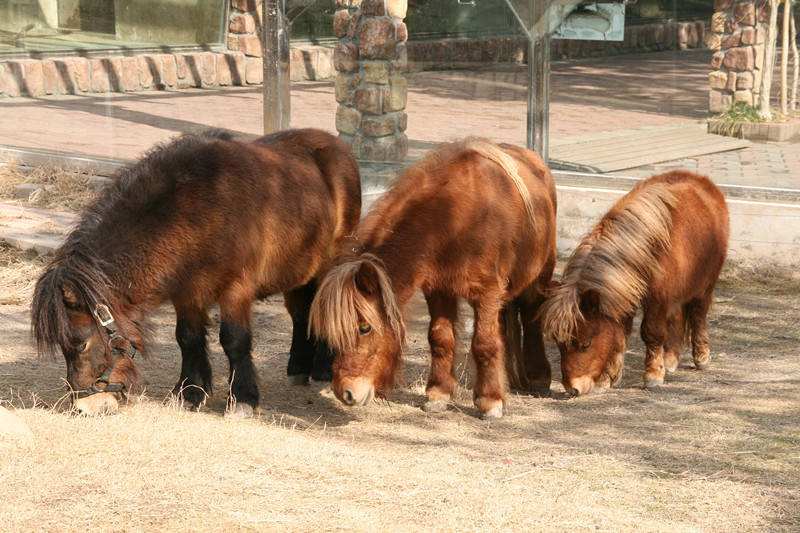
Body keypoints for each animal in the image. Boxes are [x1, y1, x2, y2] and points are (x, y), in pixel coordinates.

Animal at [31, 128, 360, 416]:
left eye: (81, 343)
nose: (84, 407)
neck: (198, 206)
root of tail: (336, 145)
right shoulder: (187, 292)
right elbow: (187, 338)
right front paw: (190, 393)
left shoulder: (236, 290)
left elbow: (234, 340)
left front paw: (242, 399)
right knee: (301, 312)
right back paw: (299, 368)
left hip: (332, 262)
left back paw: (322, 368)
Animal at [308, 138, 556, 420]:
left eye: (364, 327)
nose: (345, 393)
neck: (456, 218)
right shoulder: (439, 290)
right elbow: (441, 339)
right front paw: (438, 394)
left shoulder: (487, 294)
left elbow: (484, 343)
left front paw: (490, 401)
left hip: (539, 276)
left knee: (532, 315)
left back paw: (538, 377)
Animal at [540, 170, 728, 394]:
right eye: (559, 345)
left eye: (586, 344)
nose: (572, 388)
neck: (647, 250)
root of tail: (702, 181)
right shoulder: (626, 294)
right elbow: (619, 336)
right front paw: (608, 378)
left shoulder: (658, 300)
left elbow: (651, 332)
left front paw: (653, 375)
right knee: (677, 318)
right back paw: (670, 360)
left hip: (704, 286)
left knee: (699, 315)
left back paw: (701, 357)